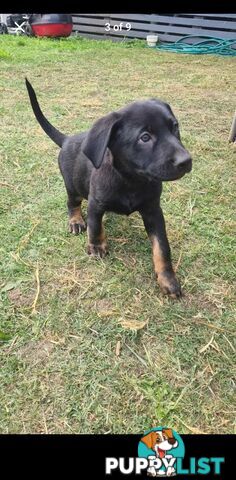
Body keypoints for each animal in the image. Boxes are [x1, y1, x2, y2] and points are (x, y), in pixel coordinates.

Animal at [25, 78, 192, 296]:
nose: (186, 161)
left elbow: (162, 247)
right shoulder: (95, 203)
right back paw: (76, 221)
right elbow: (95, 226)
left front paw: (167, 277)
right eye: (145, 137)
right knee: (72, 204)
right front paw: (97, 247)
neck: (131, 180)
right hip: (73, 186)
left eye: (175, 127)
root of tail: (68, 140)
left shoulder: (153, 211)